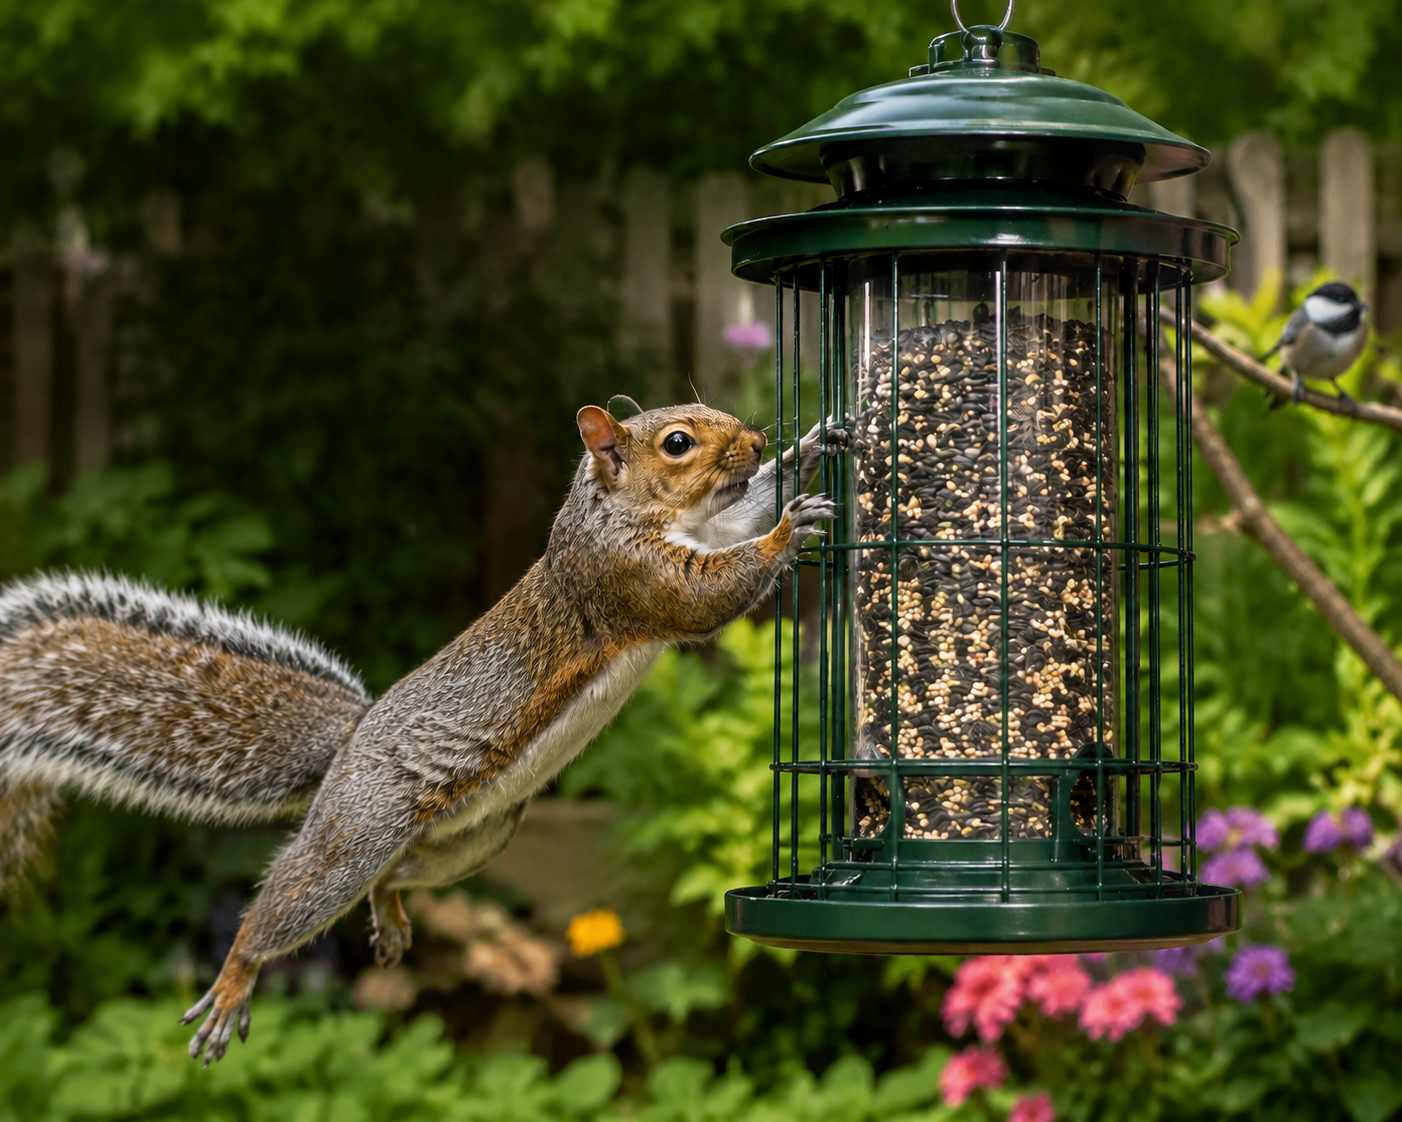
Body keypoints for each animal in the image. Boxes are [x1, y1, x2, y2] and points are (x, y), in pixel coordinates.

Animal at [0, 401, 842, 1063]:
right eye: (677, 442)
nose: (757, 439)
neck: (620, 512)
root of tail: (346, 748)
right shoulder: (625, 576)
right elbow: (709, 594)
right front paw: (786, 532)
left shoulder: (697, 532)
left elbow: (736, 522)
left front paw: (806, 452)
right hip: (361, 827)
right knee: (291, 901)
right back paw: (235, 981)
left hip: (474, 839)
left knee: (394, 876)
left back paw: (392, 918)